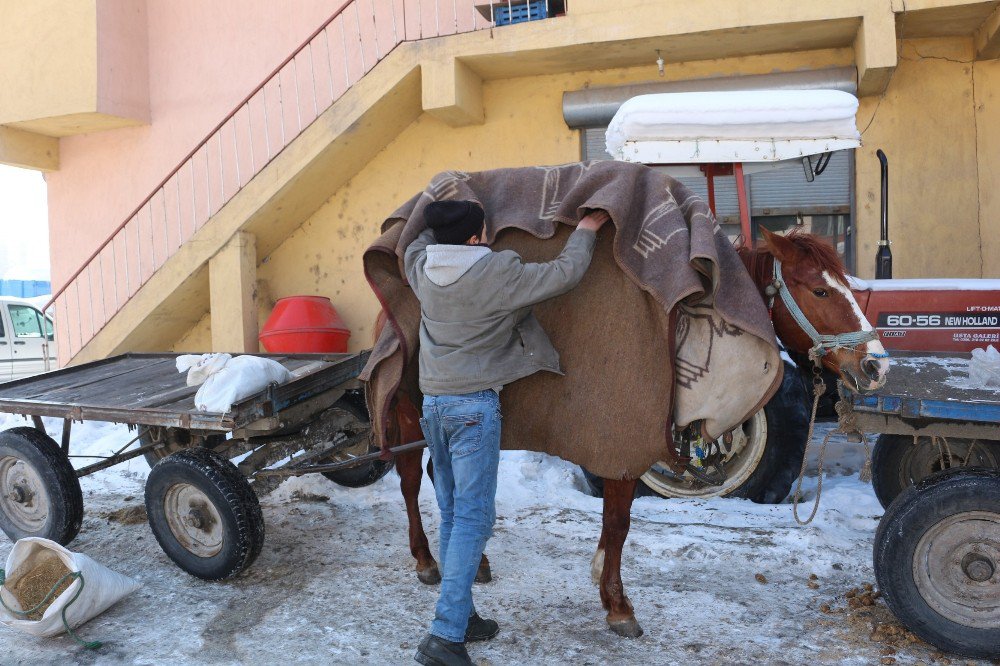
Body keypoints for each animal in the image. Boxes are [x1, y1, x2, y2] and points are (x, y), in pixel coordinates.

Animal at [376, 224, 892, 640]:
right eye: (820, 292)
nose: (877, 366)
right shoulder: (621, 444)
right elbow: (619, 523)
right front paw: (618, 605)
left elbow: (615, 524)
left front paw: (605, 585)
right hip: (407, 414)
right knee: (410, 479)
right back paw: (426, 560)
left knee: (442, 480)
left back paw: (476, 562)